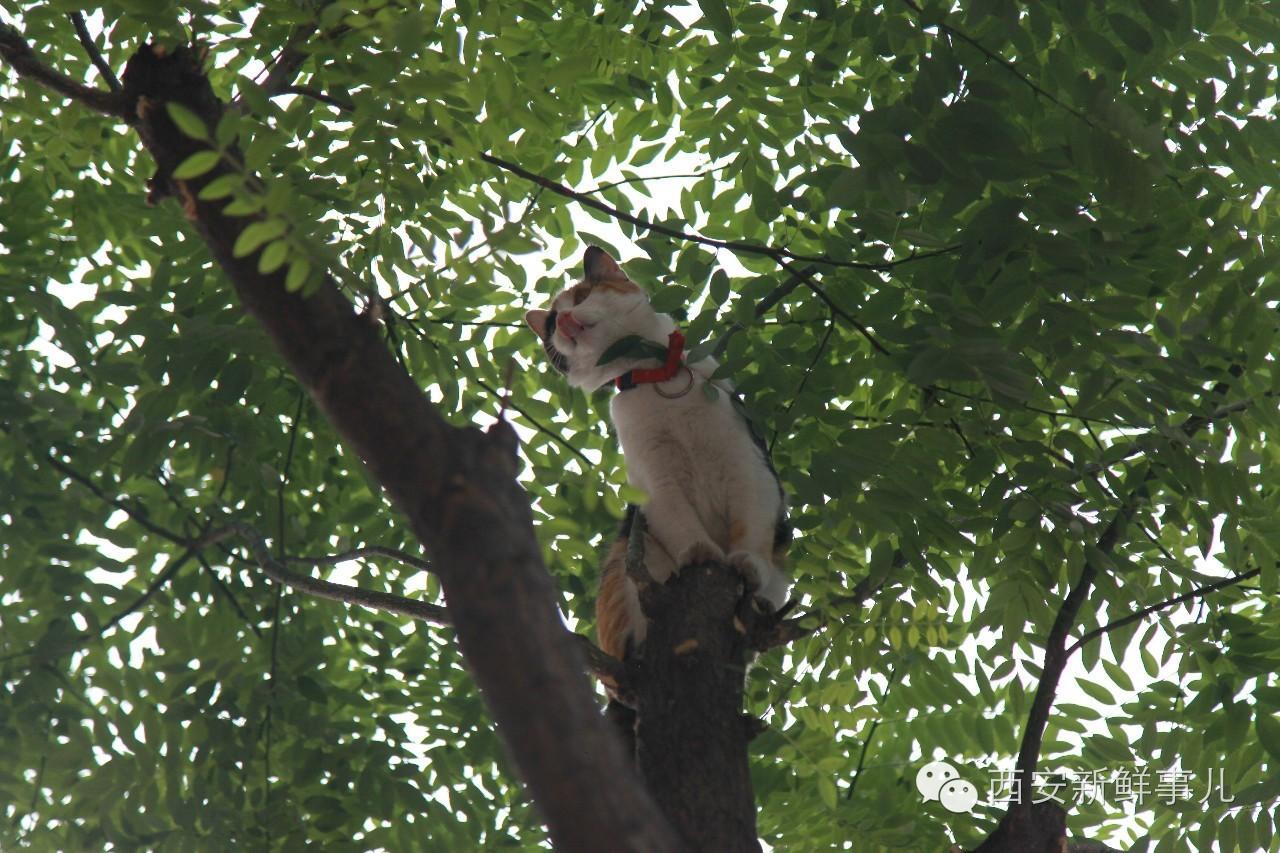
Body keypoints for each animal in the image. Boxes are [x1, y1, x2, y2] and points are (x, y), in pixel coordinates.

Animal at [522, 245, 788, 666]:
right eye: (549, 327)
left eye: (581, 297)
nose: (562, 320)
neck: (655, 374)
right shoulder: (653, 476)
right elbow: (679, 520)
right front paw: (700, 554)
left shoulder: (747, 463)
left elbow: (751, 524)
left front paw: (748, 562)